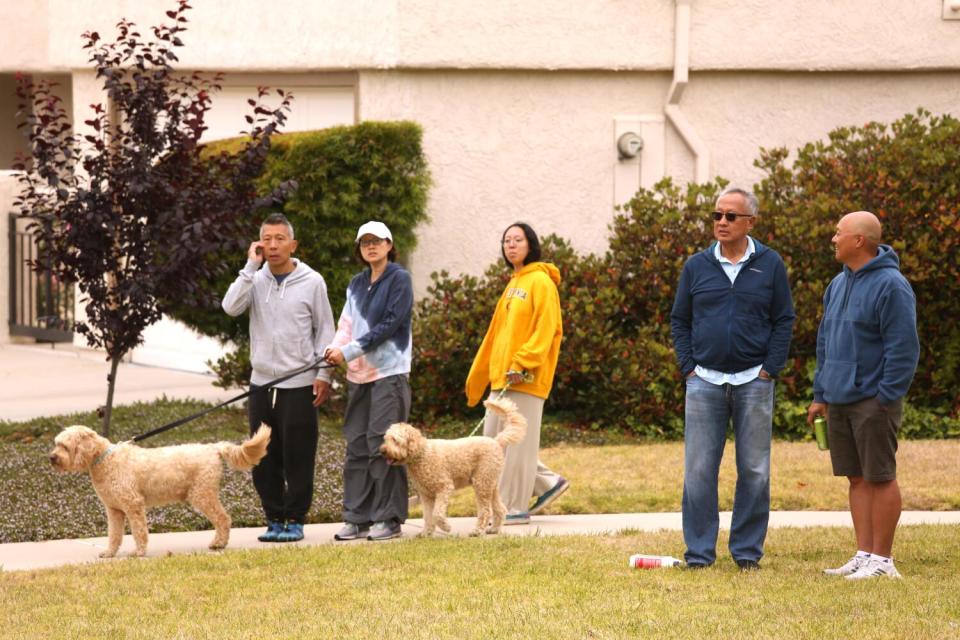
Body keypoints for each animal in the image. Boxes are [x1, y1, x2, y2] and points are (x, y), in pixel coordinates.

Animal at [51, 424, 272, 556]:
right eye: (57, 444)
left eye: (65, 446)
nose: (51, 457)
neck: (105, 460)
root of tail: (213, 448)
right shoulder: (114, 510)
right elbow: (114, 534)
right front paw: (109, 553)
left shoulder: (133, 505)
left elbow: (139, 531)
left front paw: (139, 552)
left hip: (202, 494)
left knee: (223, 519)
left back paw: (218, 544)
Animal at [378, 398, 524, 536]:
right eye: (386, 439)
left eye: (395, 440)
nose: (382, 451)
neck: (422, 454)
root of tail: (496, 441)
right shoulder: (426, 495)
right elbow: (428, 516)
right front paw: (426, 533)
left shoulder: (444, 487)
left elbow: (436, 513)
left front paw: (446, 527)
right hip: (489, 483)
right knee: (500, 509)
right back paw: (494, 529)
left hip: (481, 483)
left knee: (485, 511)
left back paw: (477, 531)